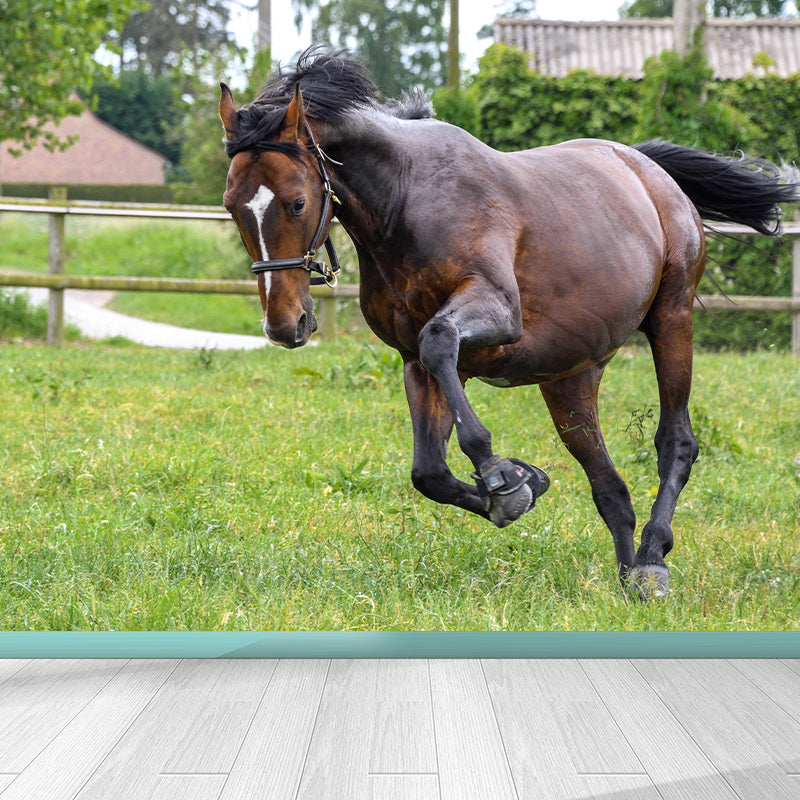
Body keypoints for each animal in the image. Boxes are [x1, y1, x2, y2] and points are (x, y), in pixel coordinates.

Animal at [219, 47, 798, 599]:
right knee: (609, 487)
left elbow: (440, 342)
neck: (406, 200)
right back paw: (628, 575)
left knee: (675, 442)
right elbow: (429, 472)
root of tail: (649, 169)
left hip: (671, 319)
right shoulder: (414, 362)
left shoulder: (494, 312)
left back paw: (653, 560)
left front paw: (502, 474)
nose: (284, 325)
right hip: (570, 377)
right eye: (231, 206)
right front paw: (523, 483)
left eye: (297, 203)